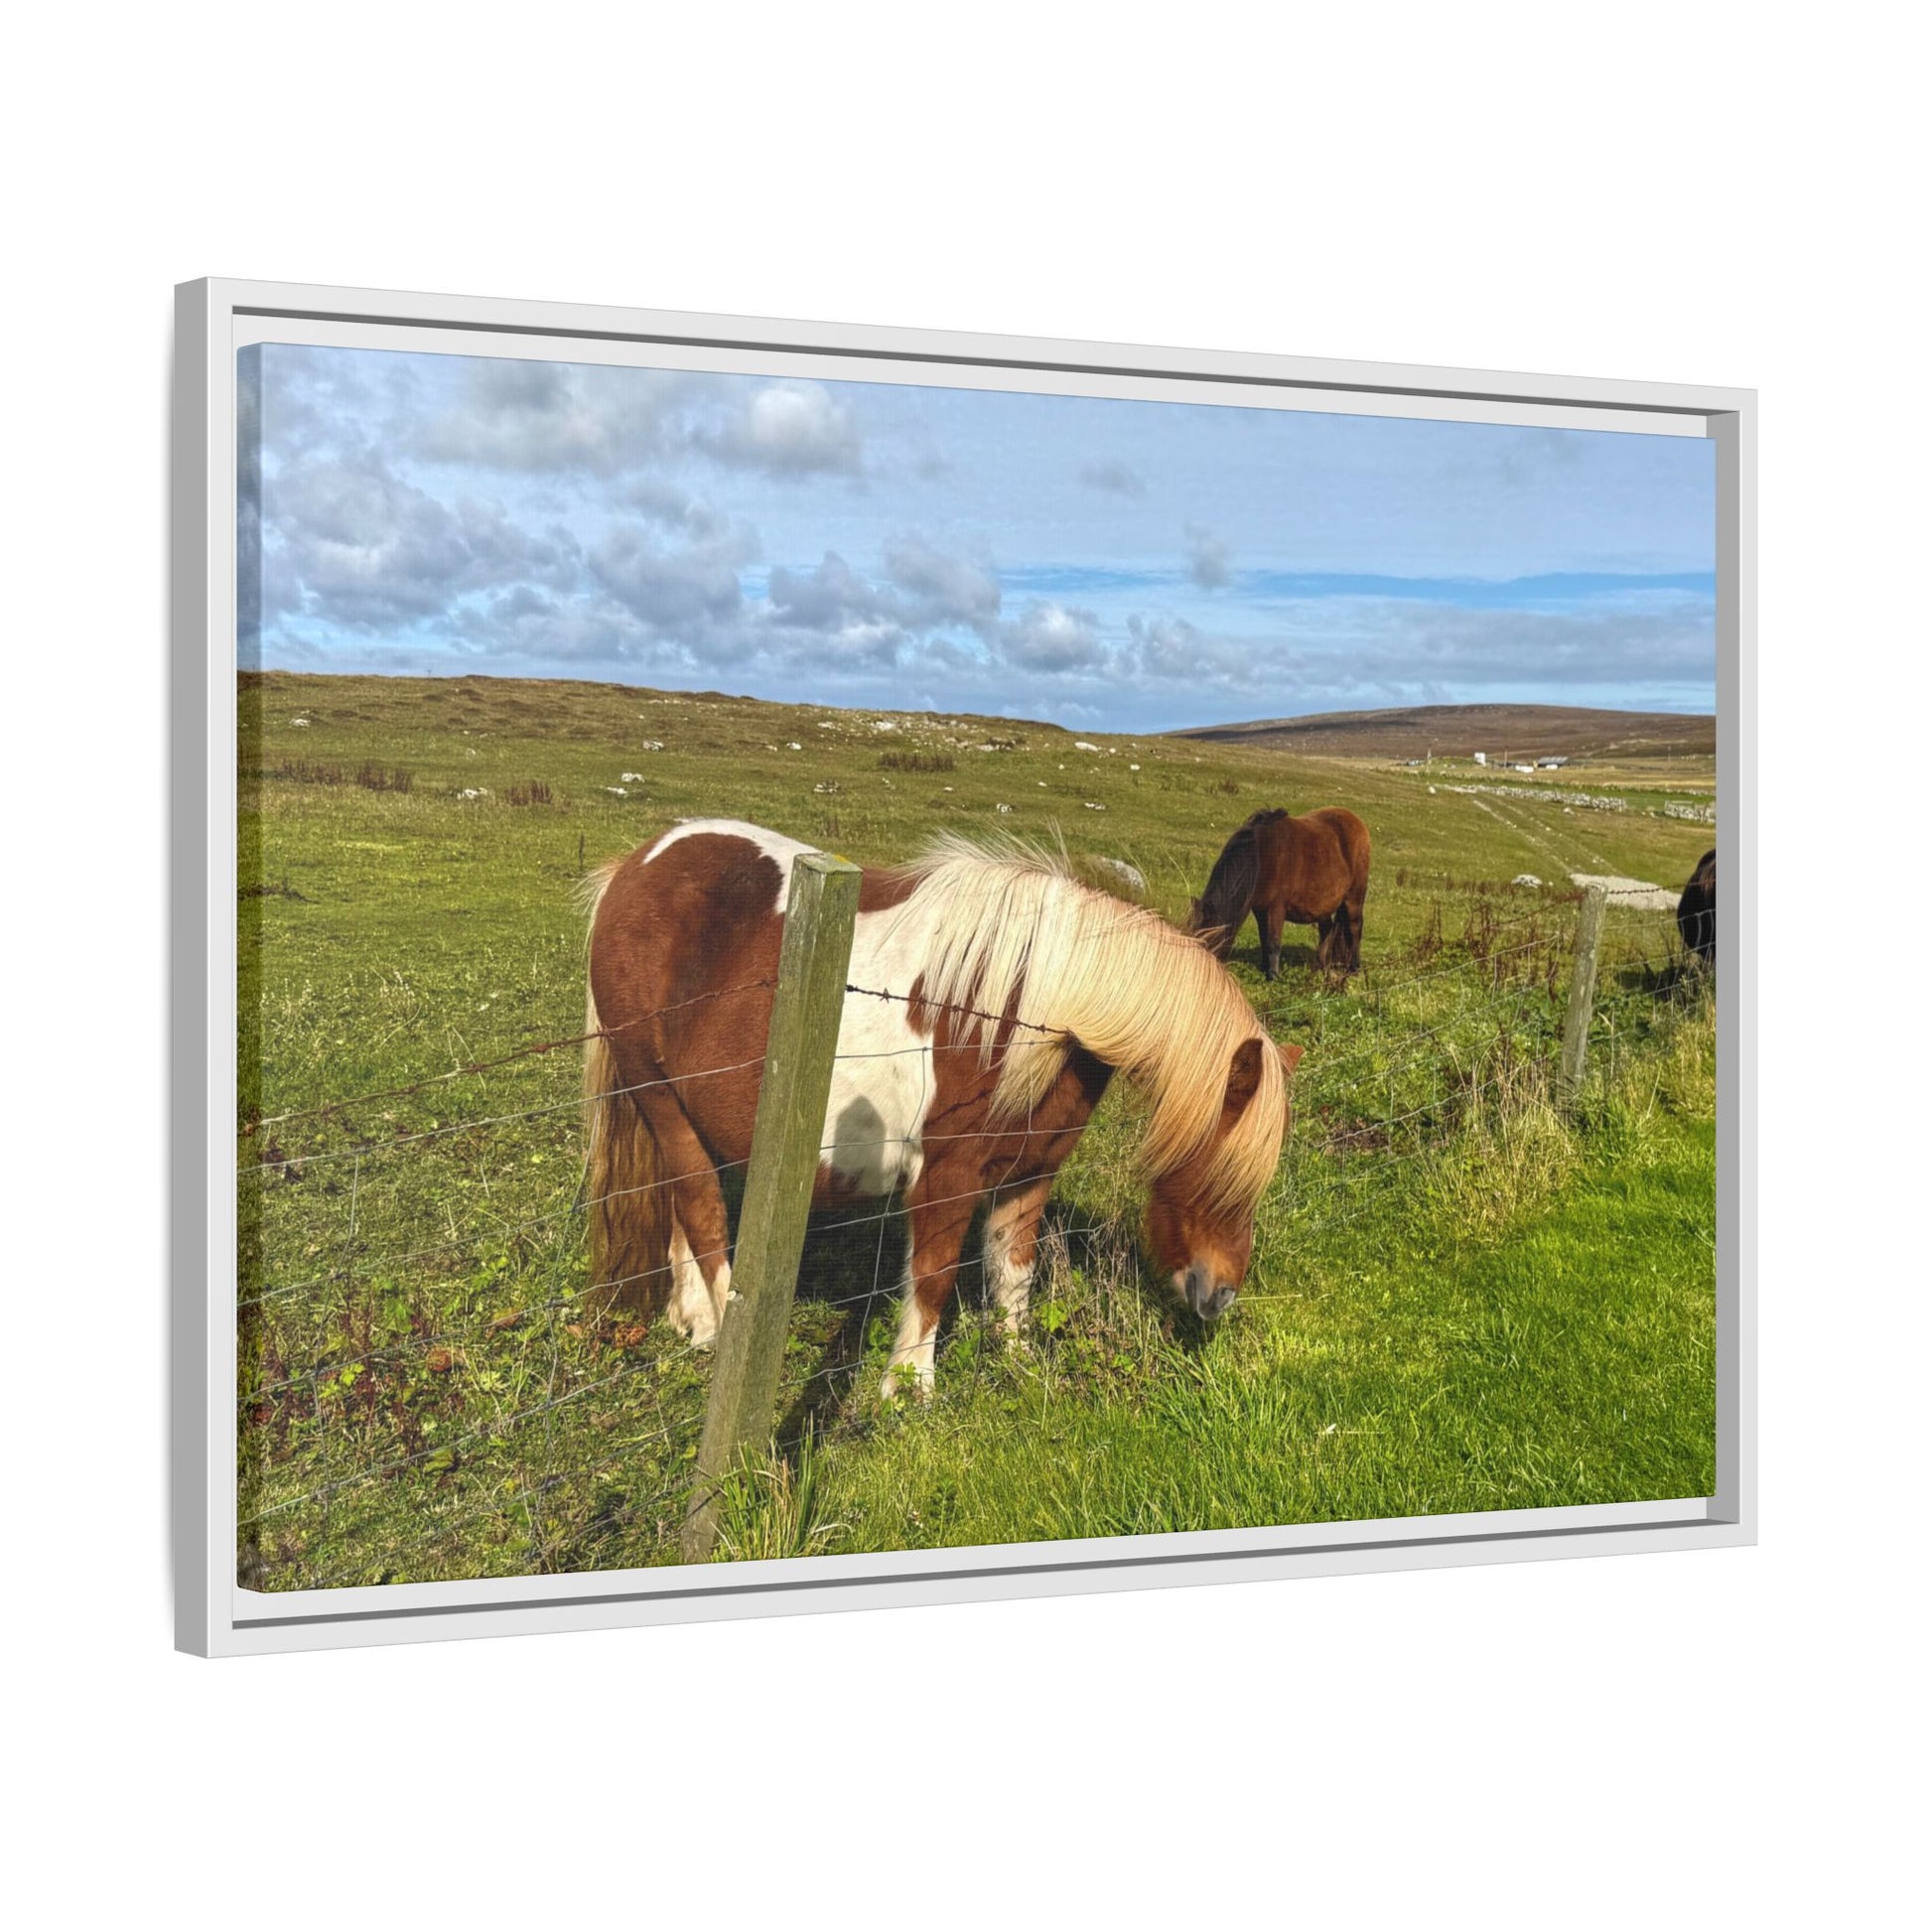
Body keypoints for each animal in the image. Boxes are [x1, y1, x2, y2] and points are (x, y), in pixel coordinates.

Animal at [582, 820, 1300, 1398]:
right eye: (1214, 1164)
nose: (1219, 1296)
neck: (1038, 1011)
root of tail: (635, 867)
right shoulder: (945, 1178)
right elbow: (933, 1277)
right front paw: (909, 1392)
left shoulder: (1029, 1173)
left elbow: (1013, 1274)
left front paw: (1017, 1362)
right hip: (657, 1096)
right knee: (702, 1210)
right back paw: (720, 1329)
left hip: (683, 1111)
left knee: (682, 1203)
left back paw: (692, 1318)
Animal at [1188, 806, 1372, 978]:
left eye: (1209, 942)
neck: (1262, 856)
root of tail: (1357, 822)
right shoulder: (1260, 910)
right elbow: (1264, 939)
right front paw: (1264, 968)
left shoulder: (1276, 908)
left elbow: (1273, 942)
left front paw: (1274, 975)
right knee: (1327, 929)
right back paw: (1321, 966)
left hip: (1354, 898)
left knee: (1354, 928)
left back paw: (1354, 968)